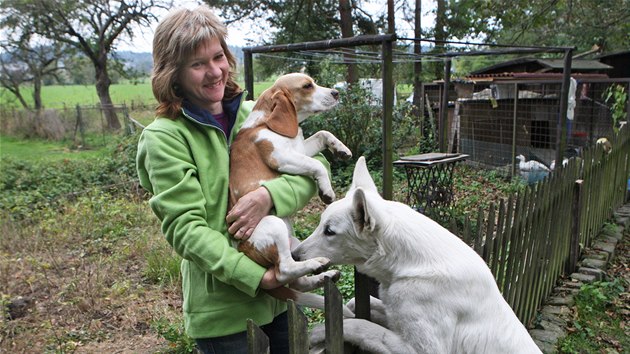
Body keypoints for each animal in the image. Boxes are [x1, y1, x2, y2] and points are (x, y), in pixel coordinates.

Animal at [230, 73, 354, 314]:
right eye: (307, 86)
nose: (336, 92)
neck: (265, 123)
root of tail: (244, 250)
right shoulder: (281, 156)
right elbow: (317, 165)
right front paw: (326, 191)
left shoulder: (300, 150)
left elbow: (323, 134)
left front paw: (341, 149)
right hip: (274, 224)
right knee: (285, 270)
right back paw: (317, 264)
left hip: (294, 242)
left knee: (298, 281)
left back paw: (324, 274)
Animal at [294, 158, 540, 354]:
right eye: (320, 225)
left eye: (329, 231)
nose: (294, 256)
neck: (409, 266)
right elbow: (357, 305)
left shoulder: (422, 349)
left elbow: (362, 326)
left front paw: (318, 333)